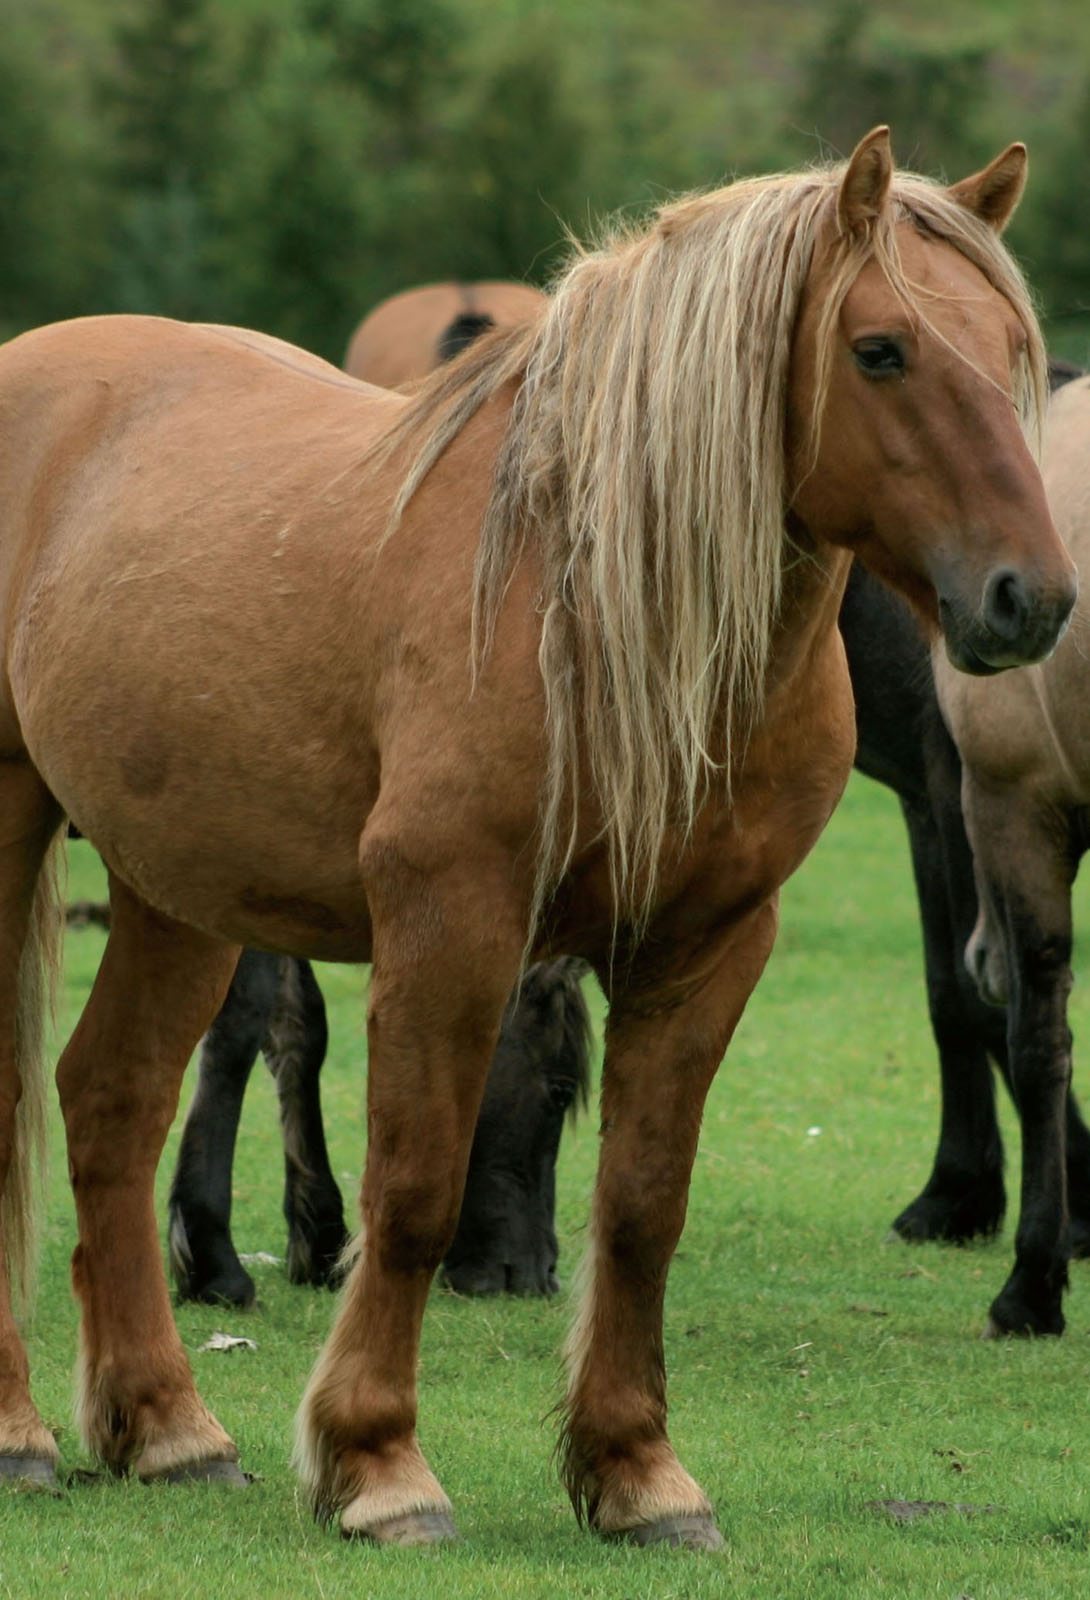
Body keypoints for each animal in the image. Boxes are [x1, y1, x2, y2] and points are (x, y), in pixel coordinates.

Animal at [169, 947, 592, 1299]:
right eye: (561, 1091)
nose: (545, 1276)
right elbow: (241, 1018)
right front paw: (214, 1262)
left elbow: (300, 1023)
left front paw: (323, 1243)